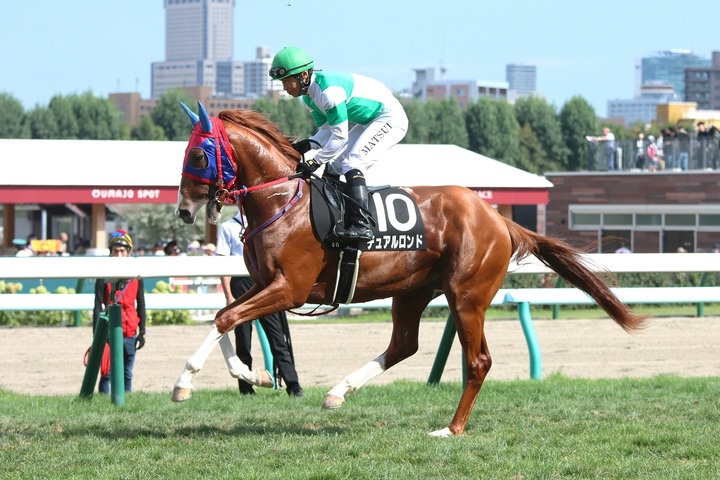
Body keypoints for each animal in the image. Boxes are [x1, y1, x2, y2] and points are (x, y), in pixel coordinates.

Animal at [172, 103, 648, 437]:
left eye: (197, 155)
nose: (182, 211)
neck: (282, 202)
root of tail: (499, 219)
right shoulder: (262, 283)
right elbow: (225, 314)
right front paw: (248, 373)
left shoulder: (291, 288)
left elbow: (228, 318)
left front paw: (183, 382)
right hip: (413, 290)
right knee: (403, 345)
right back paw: (338, 393)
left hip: (467, 296)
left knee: (477, 361)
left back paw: (451, 429)